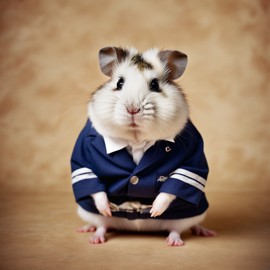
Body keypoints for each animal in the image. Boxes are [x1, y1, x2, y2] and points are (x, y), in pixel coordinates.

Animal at [70, 47, 216, 247]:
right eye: (119, 82)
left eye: (154, 85)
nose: (132, 109)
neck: (136, 139)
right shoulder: (83, 157)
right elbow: (94, 186)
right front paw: (106, 208)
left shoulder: (192, 159)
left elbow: (172, 187)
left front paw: (155, 211)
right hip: (89, 213)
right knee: (102, 224)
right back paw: (93, 235)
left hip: (187, 216)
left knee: (178, 228)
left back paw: (186, 238)